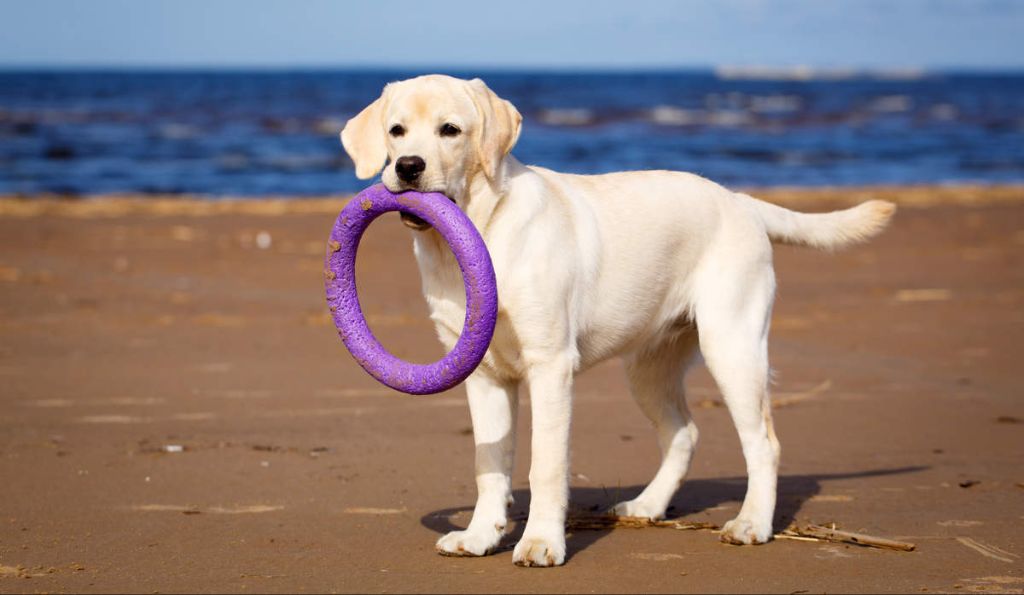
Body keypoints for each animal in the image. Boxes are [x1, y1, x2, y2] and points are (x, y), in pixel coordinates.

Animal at [339, 74, 892, 565]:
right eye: (396, 131)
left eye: (450, 130)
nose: (408, 166)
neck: (485, 230)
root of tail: (740, 202)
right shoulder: (482, 373)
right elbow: (489, 463)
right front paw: (479, 536)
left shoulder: (550, 366)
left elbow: (545, 466)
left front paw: (541, 543)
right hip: (648, 367)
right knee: (684, 433)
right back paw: (648, 505)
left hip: (733, 347)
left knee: (764, 444)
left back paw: (752, 523)